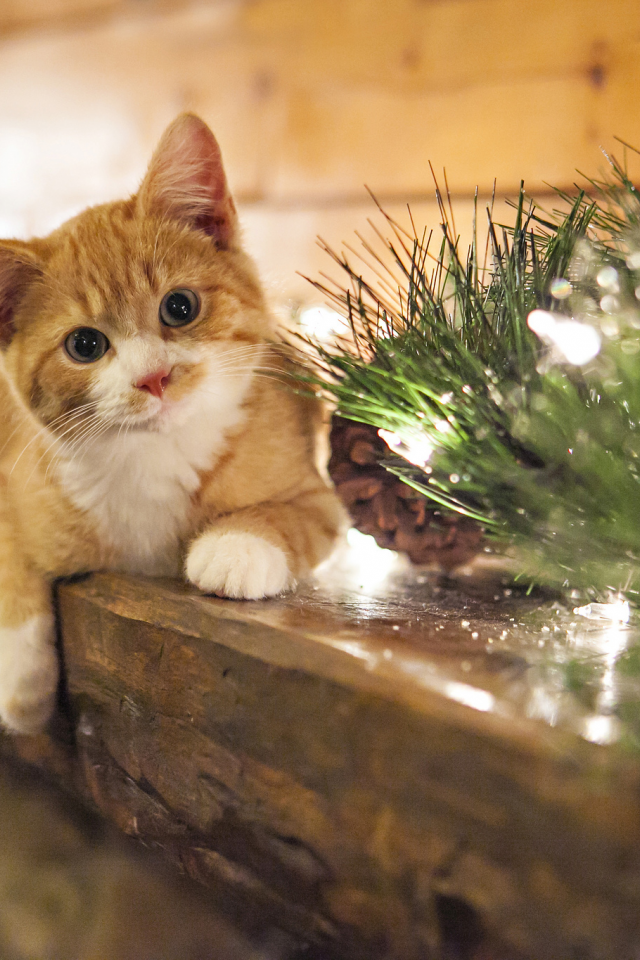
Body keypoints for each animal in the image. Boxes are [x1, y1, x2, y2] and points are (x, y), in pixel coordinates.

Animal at [0, 112, 344, 736]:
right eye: (85, 345)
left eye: (179, 307)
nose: (154, 378)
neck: (154, 457)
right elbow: (10, 555)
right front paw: (21, 679)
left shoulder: (321, 496)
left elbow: (290, 514)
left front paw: (237, 546)